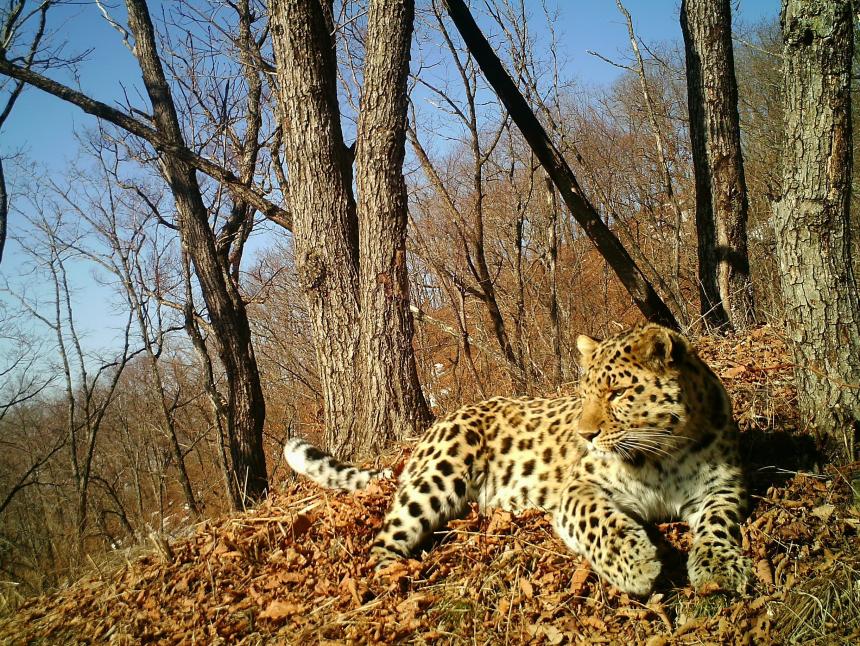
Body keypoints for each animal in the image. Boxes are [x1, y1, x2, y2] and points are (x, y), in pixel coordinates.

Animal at [286, 324, 748, 596]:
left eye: (617, 393)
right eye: (585, 393)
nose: (585, 435)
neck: (665, 453)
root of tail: (433, 429)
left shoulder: (723, 485)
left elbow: (718, 523)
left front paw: (719, 569)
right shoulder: (579, 488)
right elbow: (600, 521)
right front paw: (636, 565)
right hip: (439, 475)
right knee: (382, 541)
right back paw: (396, 579)